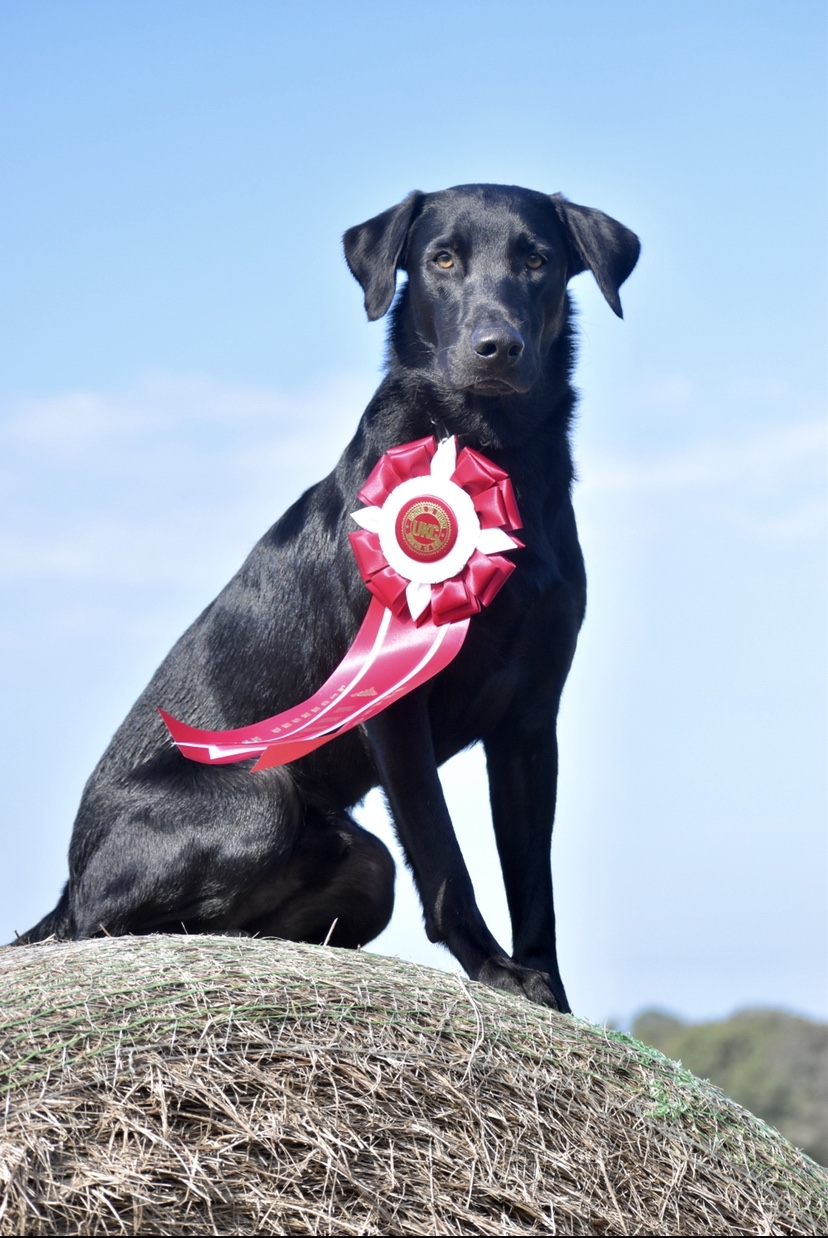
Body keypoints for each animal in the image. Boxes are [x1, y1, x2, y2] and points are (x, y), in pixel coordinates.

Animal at [19, 185, 638, 1015]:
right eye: (443, 259)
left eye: (538, 260)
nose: (496, 346)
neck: (493, 446)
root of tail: (68, 880)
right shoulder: (396, 707)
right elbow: (445, 861)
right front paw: (495, 971)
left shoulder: (531, 718)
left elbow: (532, 879)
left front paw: (549, 993)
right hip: (256, 799)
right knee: (101, 925)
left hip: (362, 861)